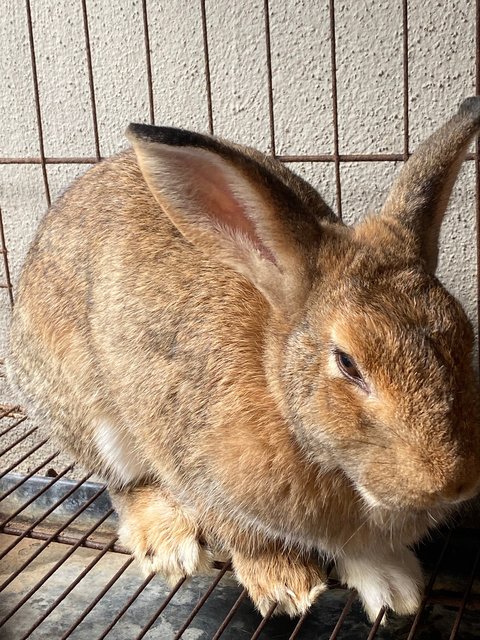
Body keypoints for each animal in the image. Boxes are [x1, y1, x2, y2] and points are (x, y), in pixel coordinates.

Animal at [6, 97, 480, 624]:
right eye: (347, 363)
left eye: (465, 334)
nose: (450, 483)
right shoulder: (193, 467)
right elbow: (244, 535)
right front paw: (286, 586)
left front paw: (397, 589)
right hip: (92, 419)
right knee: (125, 484)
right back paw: (170, 543)